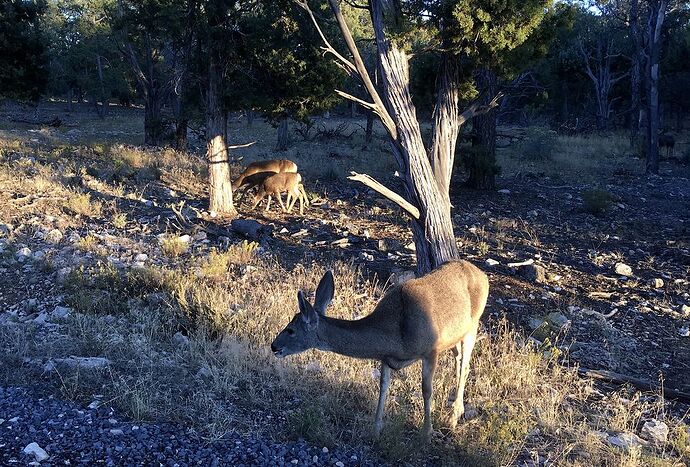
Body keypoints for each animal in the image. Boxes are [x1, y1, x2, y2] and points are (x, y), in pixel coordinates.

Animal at [268, 262, 490, 440]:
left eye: (291, 330)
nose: (274, 346)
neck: (396, 335)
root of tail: (482, 274)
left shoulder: (431, 350)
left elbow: (426, 390)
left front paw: (427, 433)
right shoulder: (386, 358)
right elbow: (383, 387)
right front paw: (376, 429)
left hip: (473, 324)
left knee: (465, 366)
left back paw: (453, 417)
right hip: (456, 335)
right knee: (460, 361)